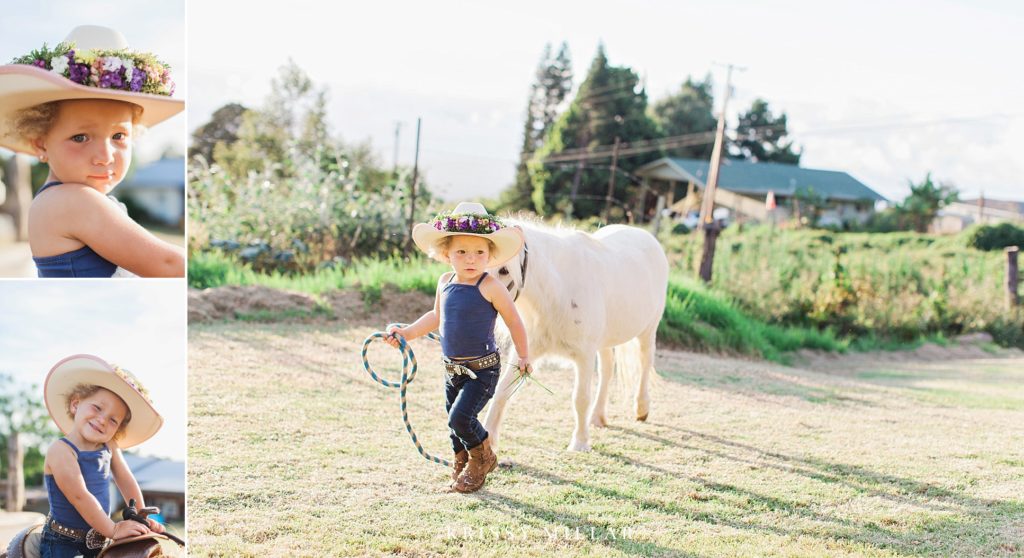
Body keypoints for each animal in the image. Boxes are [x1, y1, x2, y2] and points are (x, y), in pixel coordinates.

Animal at [487, 220, 671, 450]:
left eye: (504, 270)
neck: (559, 291)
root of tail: (645, 235)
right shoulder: (529, 349)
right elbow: (502, 391)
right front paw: (487, 438)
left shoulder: (584, 355)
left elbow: (581, 398)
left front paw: (580, 443)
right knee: (607, 371)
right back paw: (598, 417)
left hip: (648, 330)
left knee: (645, 363)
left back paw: (642, 408)